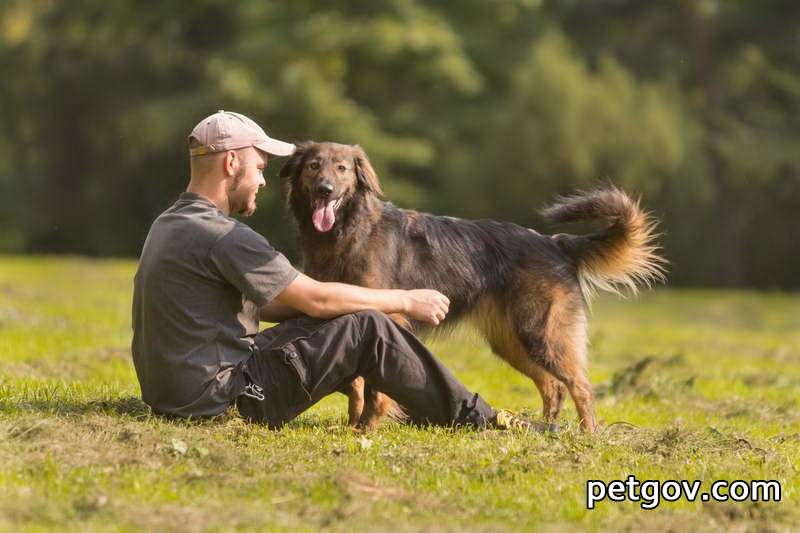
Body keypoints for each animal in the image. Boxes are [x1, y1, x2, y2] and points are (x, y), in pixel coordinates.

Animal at [278, 141, 664, 432]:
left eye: (342, 168)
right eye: (313, 166)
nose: (325, 190)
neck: (349, 230)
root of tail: (554, 242)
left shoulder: (387, 315)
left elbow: (374, 387)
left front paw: (367, 428)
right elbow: (357, 383)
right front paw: (353, 425)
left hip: (541, 334)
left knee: (580, 386)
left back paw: (587, 434)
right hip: (512, 342)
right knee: (553, 386)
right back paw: (546, 429)